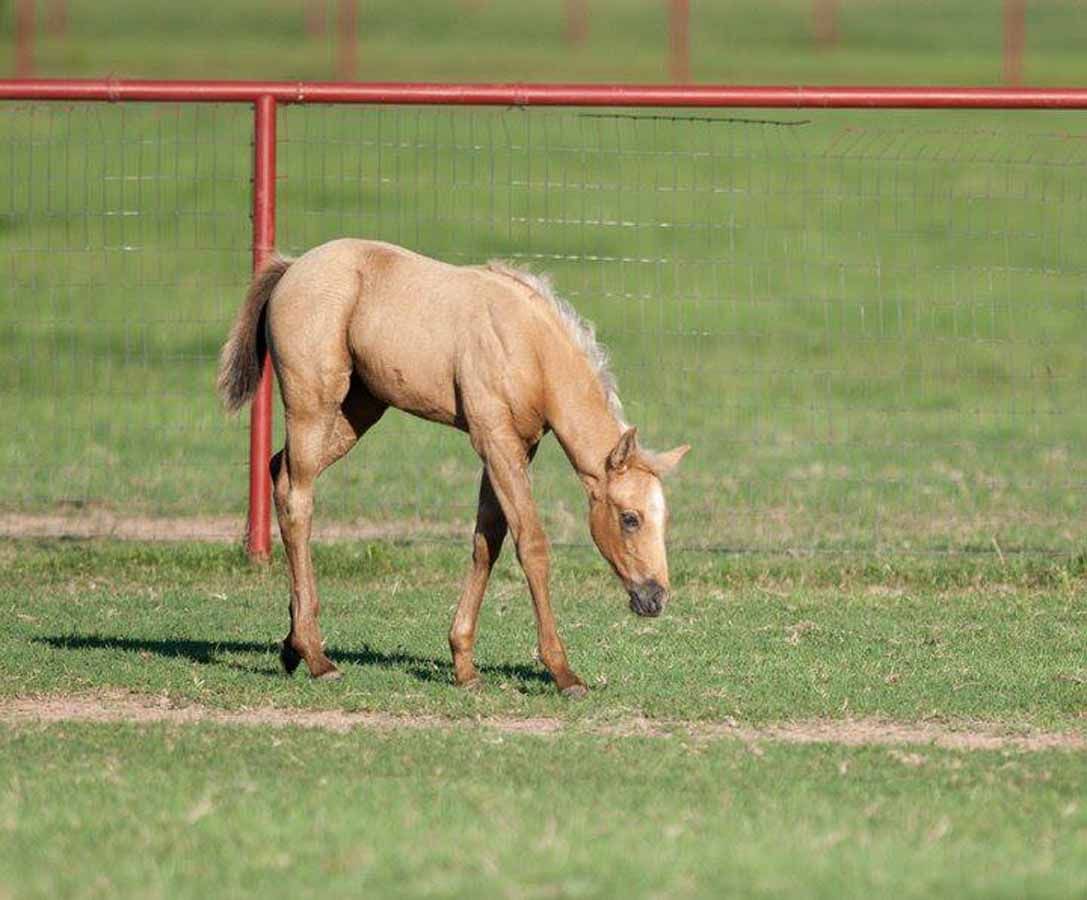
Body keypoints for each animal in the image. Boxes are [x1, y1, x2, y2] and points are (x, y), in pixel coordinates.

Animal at [217, 239, 689, 696]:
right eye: (630, 518)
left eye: (664, 520)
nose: (656, 598)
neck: (529, 346)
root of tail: (293, 267)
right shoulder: (496, 442)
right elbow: (532, 546)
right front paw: (564, 674)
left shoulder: (516, 448)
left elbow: (487, 542)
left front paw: (464, 667)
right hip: (312, 405)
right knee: (298, 499)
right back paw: (318, 658)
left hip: (357, 410)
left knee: (279, 470)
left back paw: (292, 646)